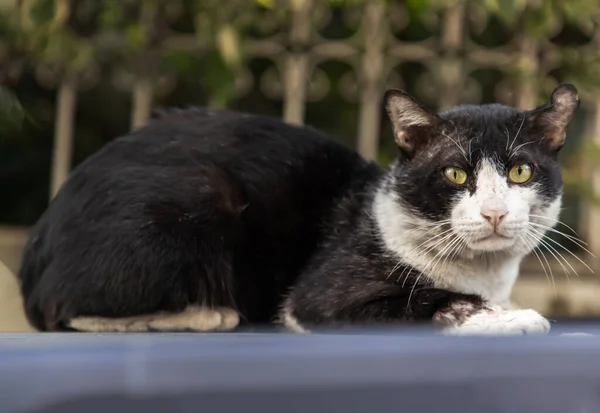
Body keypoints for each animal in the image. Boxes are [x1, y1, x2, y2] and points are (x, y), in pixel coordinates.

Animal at [18, 82, 580, 334]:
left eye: (520, 172)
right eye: (456, 174)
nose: (494, 213)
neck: (484, 272)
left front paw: (505, 308)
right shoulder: (322, 294)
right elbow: (426, 299)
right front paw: (508, 317)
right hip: (199, 195)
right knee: (66, 311)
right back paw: (205, 313)